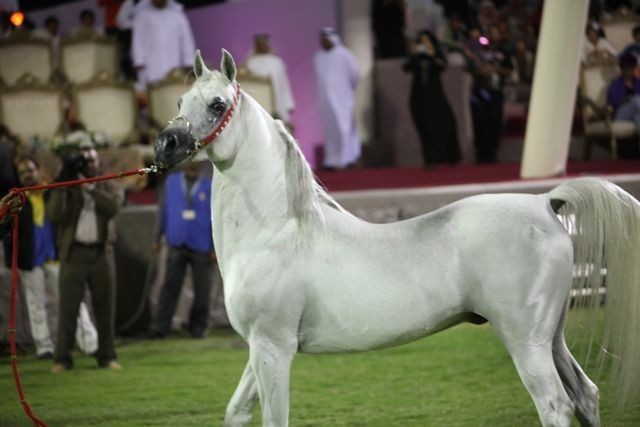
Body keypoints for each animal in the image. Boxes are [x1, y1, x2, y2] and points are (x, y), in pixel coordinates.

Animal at [154, 49, 640, 427]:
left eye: (217, 105)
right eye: (180, 100)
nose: (166, 144)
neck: (276, 231)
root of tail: (544, 202)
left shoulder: (274, 348)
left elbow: (275, 419)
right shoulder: (260, 349)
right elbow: (237, 412)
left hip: (526, 341)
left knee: (555, 405)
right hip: (551, 337)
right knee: (585, 395)